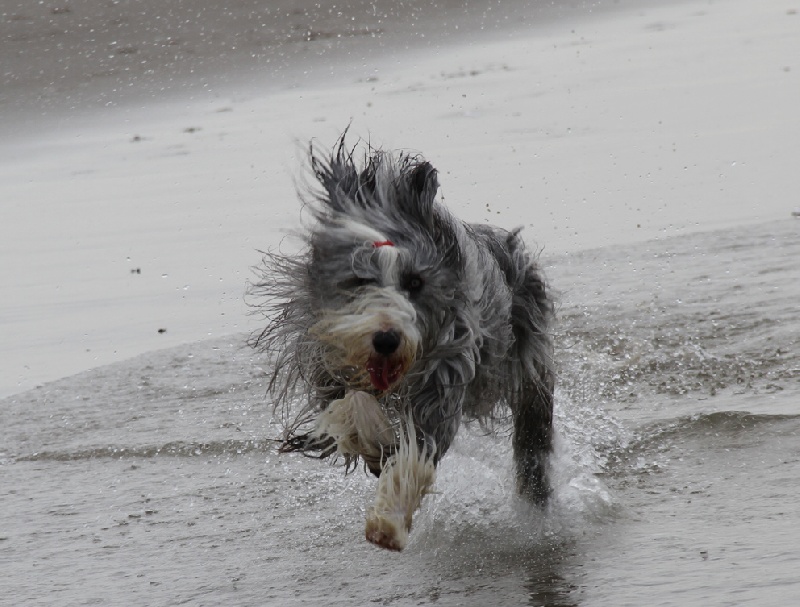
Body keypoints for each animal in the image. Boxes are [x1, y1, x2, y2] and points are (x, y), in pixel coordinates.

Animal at [250, 135, 556, 552]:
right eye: (359, 280)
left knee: (533, 430)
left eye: (414, 282)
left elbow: (419, 448)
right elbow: (351, 407)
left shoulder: (445, 379)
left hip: (528, 365)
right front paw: (371, 440)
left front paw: (388, 519)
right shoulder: (325, 367)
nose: (386, 338)